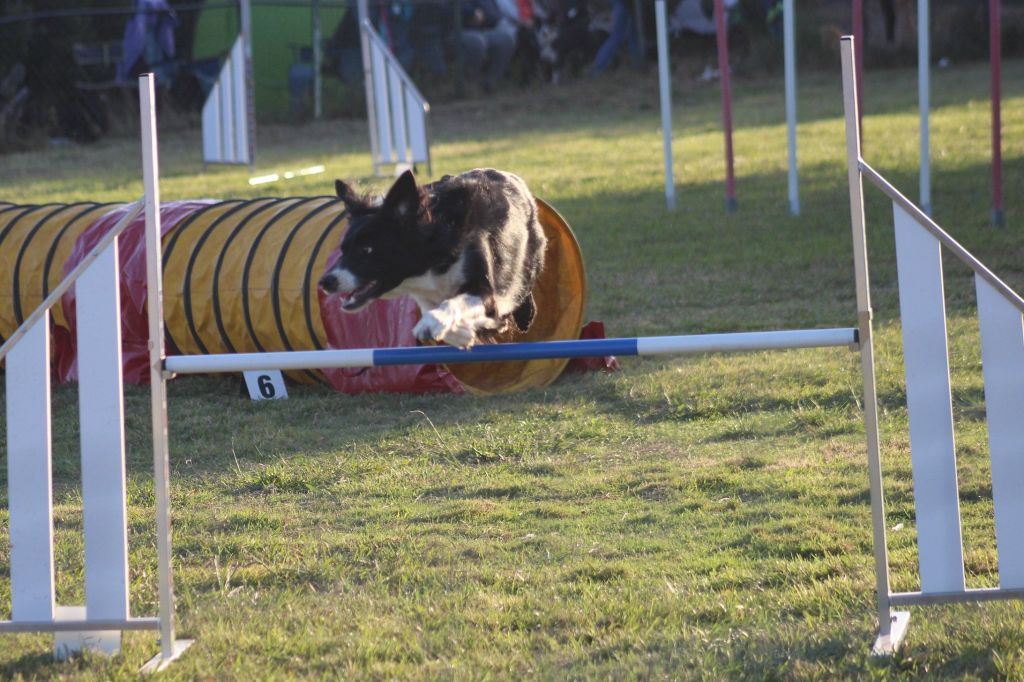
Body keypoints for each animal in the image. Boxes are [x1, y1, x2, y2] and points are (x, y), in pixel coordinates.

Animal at [317, 167, 548, 348]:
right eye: (343, 249)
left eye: (366, 250)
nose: (325, 282)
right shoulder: (424, 296)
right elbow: (439, 311)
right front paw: (461, 333)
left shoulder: (483, 288)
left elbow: (454, 303)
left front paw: (432, 323)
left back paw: (525, 315)